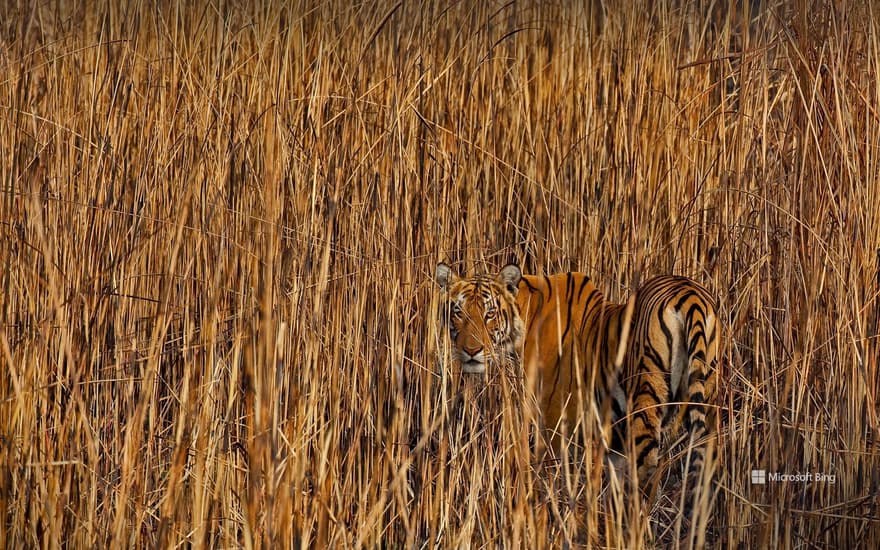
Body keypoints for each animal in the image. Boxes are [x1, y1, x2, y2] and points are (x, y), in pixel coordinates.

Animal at [436, 264, 720, 504]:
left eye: (490, 314)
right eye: (458, 312)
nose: (471, 351)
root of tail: (690, 295)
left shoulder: (555, 423)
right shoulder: (613, 438)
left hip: (646, 403)